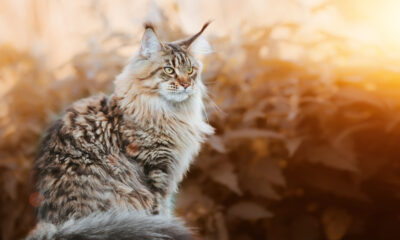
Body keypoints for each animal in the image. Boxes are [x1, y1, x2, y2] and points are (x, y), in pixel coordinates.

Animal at [26, 22, 214, 240]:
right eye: (169, 70)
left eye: (190, 70)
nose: (186, 84)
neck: (168, 113)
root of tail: (57, 227)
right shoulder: (154, 174)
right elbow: (160, 214)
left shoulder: (167, 179)